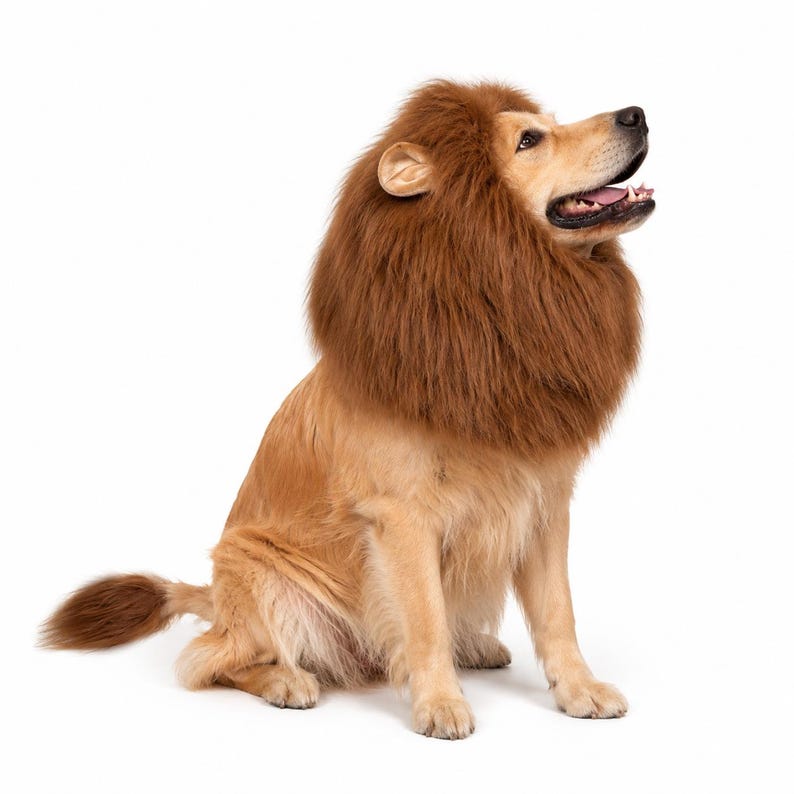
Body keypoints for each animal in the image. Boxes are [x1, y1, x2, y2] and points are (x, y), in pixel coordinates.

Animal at [42, 80, 654, 739]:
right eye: (529, 140)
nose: (637, 114)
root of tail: (214, 597)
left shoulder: (544, 503)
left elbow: (558, 613)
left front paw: (580, 689)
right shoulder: (403, 515)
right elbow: (426, 620)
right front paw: (440, 704)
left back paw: (475, 647)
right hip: (257, 573)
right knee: (210, 659)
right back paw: (286, 682)